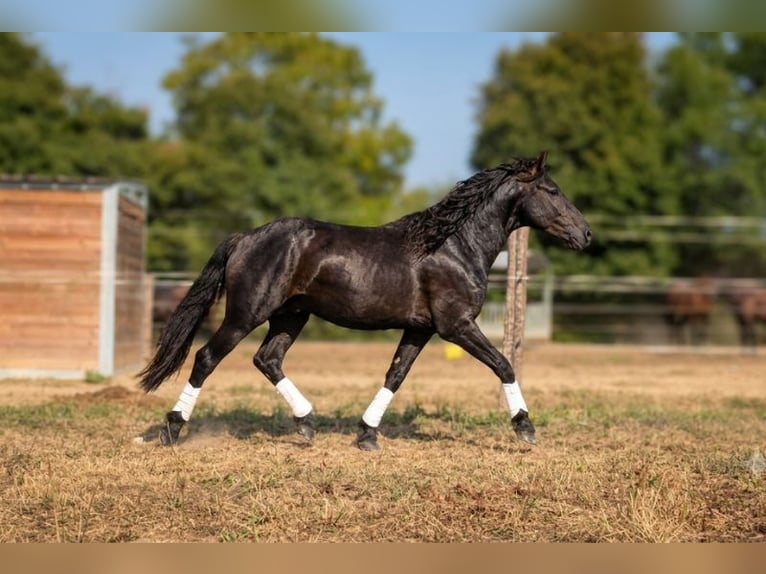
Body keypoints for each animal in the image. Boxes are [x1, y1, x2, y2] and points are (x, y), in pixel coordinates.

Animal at [138, 152, 592, 450]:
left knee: (267, 359)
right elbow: (503, 364)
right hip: (246, 313)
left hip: (291, 316)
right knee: (206, 358)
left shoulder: (420, 328)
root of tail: (244, 237)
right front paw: (526, 428)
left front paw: (366, 434)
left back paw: (306, 424)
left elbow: (395, 375)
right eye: (552, 190)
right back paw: (171, 429)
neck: (453, 246)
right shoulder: (456, 325)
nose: (586, 234)